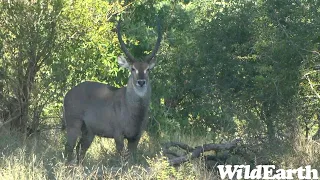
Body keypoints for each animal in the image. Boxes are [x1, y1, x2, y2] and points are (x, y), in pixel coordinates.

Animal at [63, 20, 161, 163]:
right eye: (133, 68)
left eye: (147, 69)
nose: (141, 82)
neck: (133, 111)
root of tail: (68, 94)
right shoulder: (118, 135)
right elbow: (122, 158)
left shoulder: (135, 137)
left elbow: (131, 160)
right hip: (73, 125)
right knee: (69, 147)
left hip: (88, 131)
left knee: (80, 149)